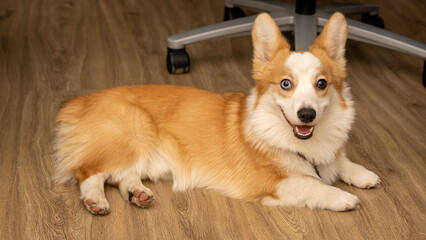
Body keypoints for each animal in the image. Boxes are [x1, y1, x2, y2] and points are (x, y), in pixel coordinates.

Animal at [54, 12, 380, 215]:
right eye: (286, 84)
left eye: (321, 84)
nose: (307, 115)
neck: (304, 144)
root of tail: (83, 101)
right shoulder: (273, 182)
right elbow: (314, 185)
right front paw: (342, 197)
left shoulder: (329, 154)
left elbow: (341, 161)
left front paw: (363, 175)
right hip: (133, 136)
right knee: (89, 172)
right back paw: (95, 200)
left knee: (124, 176)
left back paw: (138, 193)